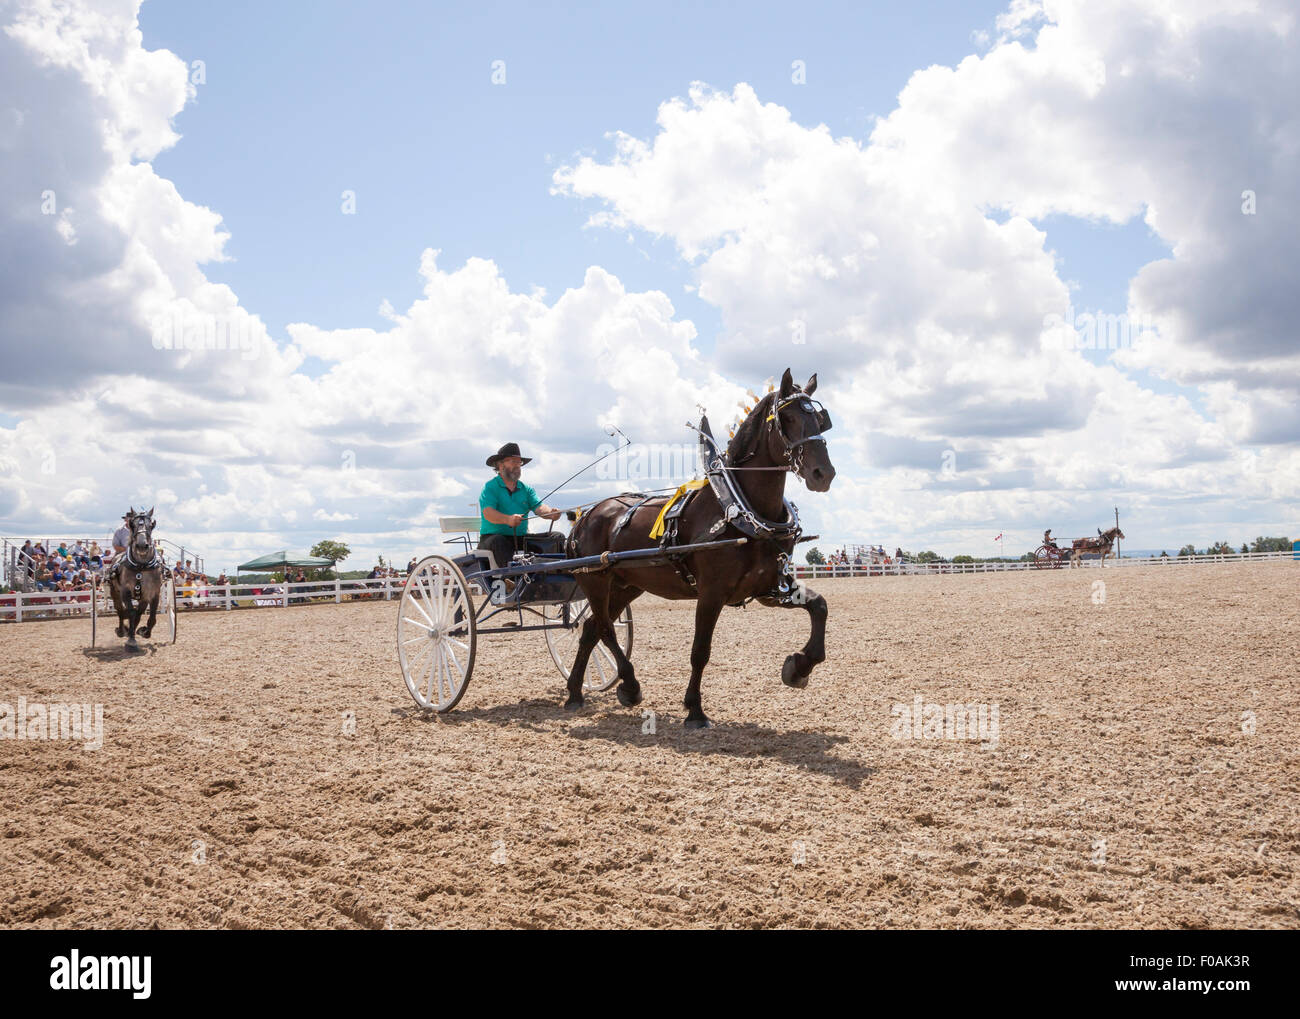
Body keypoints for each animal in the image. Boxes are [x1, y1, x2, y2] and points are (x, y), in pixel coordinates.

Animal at [106, 507, 168, 651]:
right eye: (132, 524)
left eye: (151, 525)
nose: (141, 545)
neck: (141, 565)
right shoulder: (125, 592)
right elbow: (131, 613)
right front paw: (131, 641)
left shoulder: (153, 593)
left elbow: (151, 617)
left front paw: (144, 632)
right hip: (114, 593)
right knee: (120, 611)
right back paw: (122, 631)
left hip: (143, 597)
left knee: (138, 613)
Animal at [562, 368, 837, 728]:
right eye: (787, 417)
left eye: (820, 419)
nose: (823, 473)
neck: (739, 507)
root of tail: (585, 515)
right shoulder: (711, 593)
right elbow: (700, 651)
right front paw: (694, 709)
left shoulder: (768, 587)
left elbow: (819, 607)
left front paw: (799, 667)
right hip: (595, 580)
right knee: (606, 629)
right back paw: (630, 686)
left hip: (626, 585)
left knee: (591, 629)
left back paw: (575, 693)